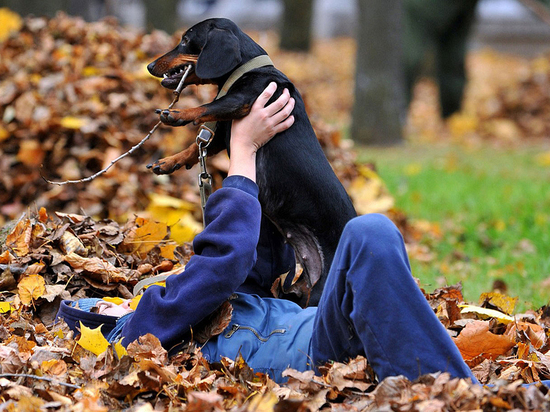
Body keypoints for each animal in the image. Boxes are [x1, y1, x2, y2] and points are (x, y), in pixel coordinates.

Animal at [147, 18, 356, 306]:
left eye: (186, 40)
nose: (150, 66)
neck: (247, 70)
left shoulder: (243, 101)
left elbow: (207, 107)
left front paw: (178, 114)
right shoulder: (224, 132)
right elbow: (197, 145)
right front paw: (169, 162)